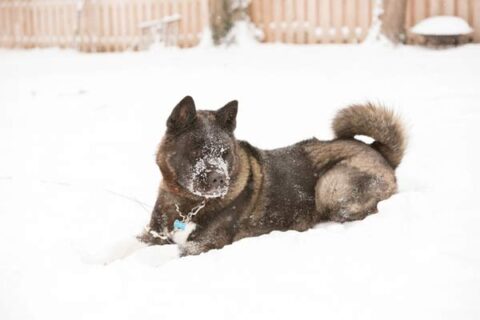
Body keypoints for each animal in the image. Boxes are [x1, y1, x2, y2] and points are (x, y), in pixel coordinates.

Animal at [139, 95, 404, 255]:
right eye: (196, 150)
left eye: (225, 153)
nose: (220, 180)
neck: (187, 204)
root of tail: (379, 151)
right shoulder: (151, 236)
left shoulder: (202, 245)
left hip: (330, 185)